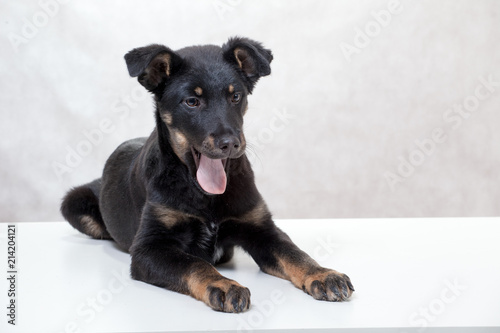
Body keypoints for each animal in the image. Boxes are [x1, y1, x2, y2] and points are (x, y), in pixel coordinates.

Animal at [60, 36, 354, 312]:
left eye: (235, 96)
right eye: (192, 101)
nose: (231, 144)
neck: (203, 193)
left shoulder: (262, 229)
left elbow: (294, 253)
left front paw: (322, 274)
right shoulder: (149, 248)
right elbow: (194, 264)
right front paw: (223, 284)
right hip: (74, 202)